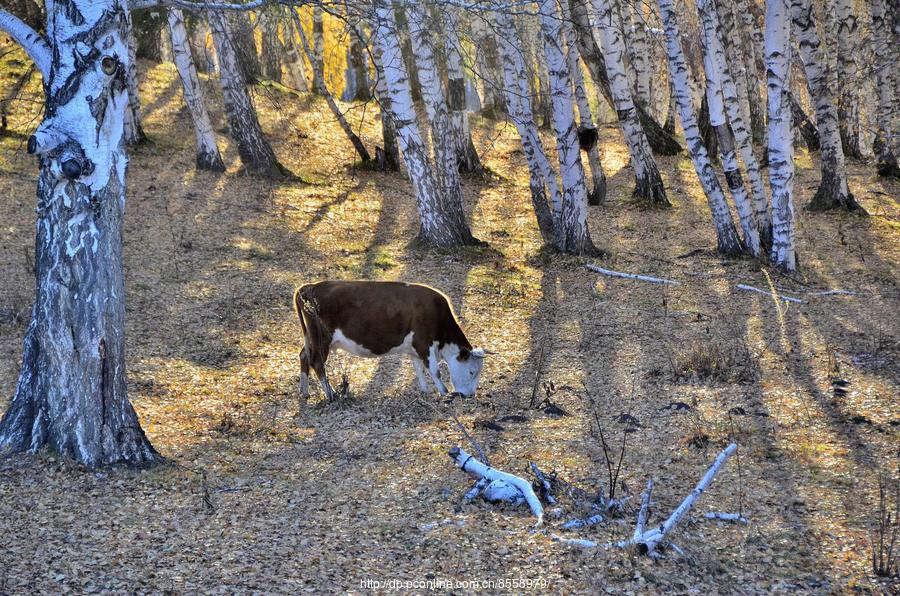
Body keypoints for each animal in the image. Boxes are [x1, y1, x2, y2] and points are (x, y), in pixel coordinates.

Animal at [294, 280, 486, 400]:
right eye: (472, 372)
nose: (470, 395)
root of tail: (310, 287)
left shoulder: (415, 348)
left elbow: (418, 369)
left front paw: (425, 390)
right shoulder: (425, 343)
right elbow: (434, 371)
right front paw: (444, 392)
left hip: (311, 338)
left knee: (304, 356)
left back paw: (304, 391)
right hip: (321, 339)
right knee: (317, 363)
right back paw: (331, 394)